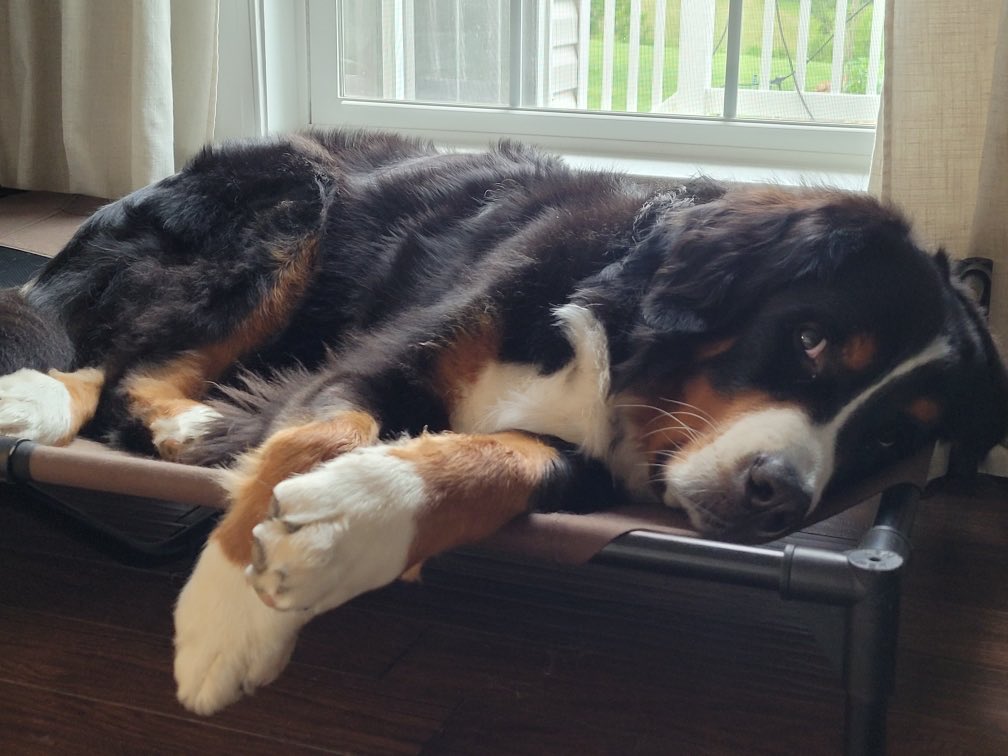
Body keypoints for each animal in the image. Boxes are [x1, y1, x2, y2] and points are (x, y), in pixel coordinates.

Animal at [0, 130, 1003, 717]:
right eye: (810, 339)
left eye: (886, 440)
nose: (780, 495)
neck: (615, 347)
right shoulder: (388, 354)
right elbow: (314, 433)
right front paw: (229, 614)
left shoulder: (580, 463)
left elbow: (495, 461)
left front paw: (347, 522)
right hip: (297, 197)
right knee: (111, 357)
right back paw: (72, 403)